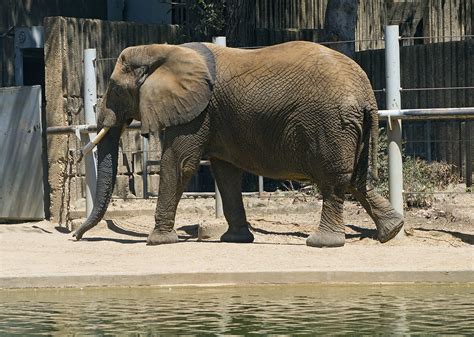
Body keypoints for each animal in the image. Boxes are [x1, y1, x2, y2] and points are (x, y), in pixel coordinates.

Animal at [74, 41, 404, 247]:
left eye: (115, 88)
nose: (75, 236)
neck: (162, 49)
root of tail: (367, 94)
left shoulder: (198, 111)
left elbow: (179, 164)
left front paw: (157, 241)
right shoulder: (214, 117)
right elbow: (226, 174)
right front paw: (235, 240)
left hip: (330, 124)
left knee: (334, 180)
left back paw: (323, 243)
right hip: (350, 126)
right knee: (357, 179)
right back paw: (391, 231)